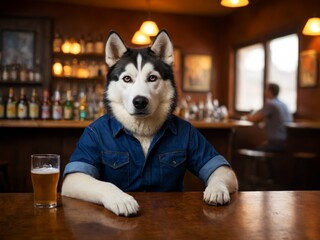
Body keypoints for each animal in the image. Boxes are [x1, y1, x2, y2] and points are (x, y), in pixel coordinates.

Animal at [62, 29, 238, 217]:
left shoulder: (195, 137)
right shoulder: (87, 145)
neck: (142, 131)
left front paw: (217, 189)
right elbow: (104, 183)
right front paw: (121, 199)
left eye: (152, 78)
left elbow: (219, 168)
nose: (140, 101)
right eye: (127, 79)